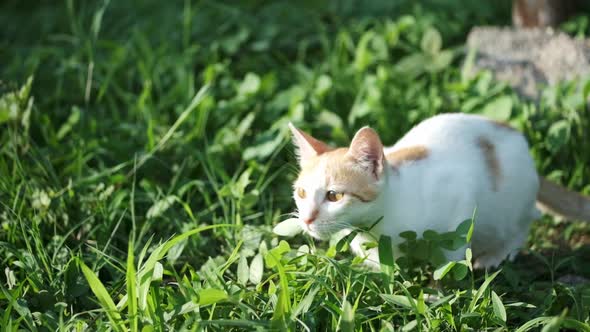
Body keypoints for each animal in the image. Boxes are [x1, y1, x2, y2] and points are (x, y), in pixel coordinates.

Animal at [290, 113, 590, 268]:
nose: (306, 218)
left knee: (524, 223)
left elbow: (452, 253)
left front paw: (440, 288)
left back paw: (496, 255)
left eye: (334, 196)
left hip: (512, 202)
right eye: (301, 193)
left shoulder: (460, 192)